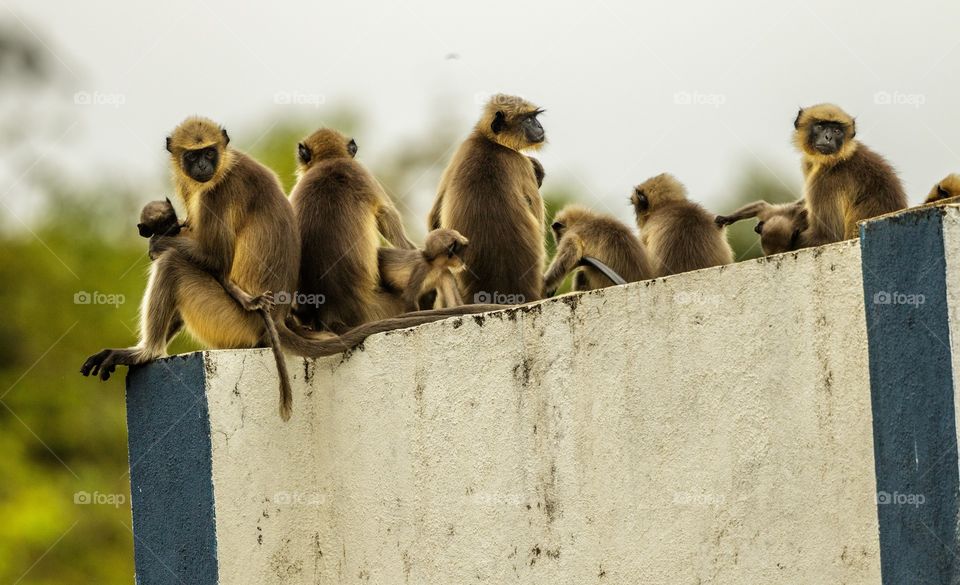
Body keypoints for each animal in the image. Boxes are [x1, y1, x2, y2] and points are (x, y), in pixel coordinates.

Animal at [428, 94, 546, 305]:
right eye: (528, 120)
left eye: (535, 118)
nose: (539, 127)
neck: (490, 143)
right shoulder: (521, 164)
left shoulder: (462, 150)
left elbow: (435, 220)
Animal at [793, 104, 907, 244]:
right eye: (820, 126)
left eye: (837, 131)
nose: (828, 137)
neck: (836, 161)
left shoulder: (826, 181)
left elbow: (827, 237)